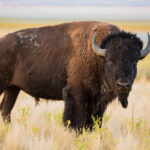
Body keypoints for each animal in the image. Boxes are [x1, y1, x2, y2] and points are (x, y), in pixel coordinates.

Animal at [0, 21, 149, 131]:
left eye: (135, 61)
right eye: (110, 60)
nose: (123, 85)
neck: (97, 57)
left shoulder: (99, 103)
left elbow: (93, 123)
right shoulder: (76, 96)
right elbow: (74, 123)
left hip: (13, 89)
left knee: (5, 110)